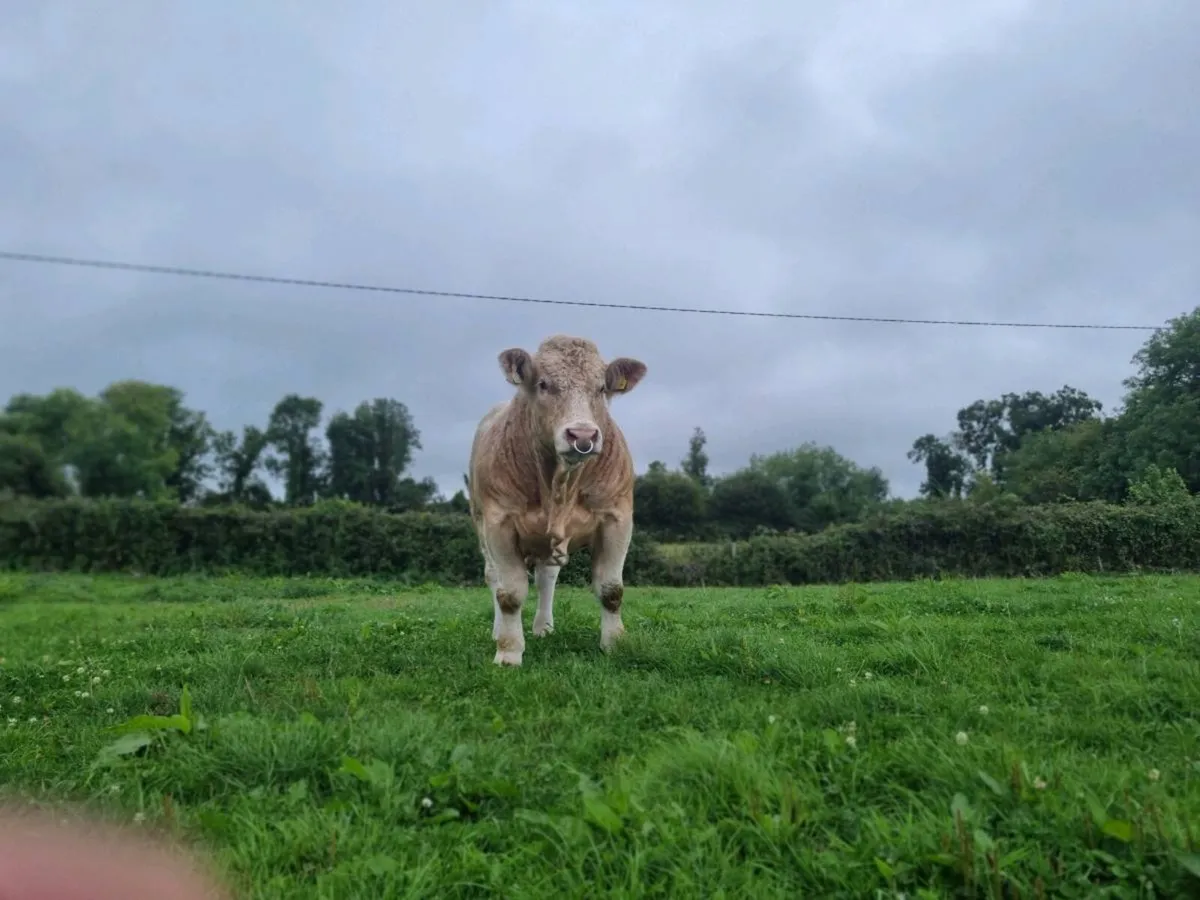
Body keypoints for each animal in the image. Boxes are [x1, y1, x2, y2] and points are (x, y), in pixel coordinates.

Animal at [468, 334, 648, 666]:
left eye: (601, 388)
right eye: (543, 384)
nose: (583, 435)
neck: (560, 485)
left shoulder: (617, 517)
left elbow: (611, 589)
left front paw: (614, 644)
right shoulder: (499, 523)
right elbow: (509, 594)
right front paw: (509, 651)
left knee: (546, 578)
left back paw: (543, 626)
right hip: (480, 524)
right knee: (493, 578)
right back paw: (498, 631)